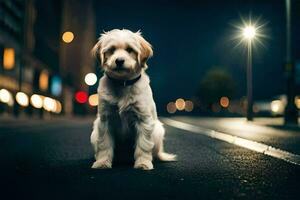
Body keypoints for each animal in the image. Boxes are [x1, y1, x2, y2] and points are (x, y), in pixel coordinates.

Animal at [90, 28, 177, 170]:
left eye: (130, 49)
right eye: (112, 50)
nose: (119, 60)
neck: (123, 83)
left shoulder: (143, 120)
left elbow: (144, 145)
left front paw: (143, 163)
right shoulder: (105, 120)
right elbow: (104, 144)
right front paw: (102, 162)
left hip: (158, 130)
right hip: (94, 132)